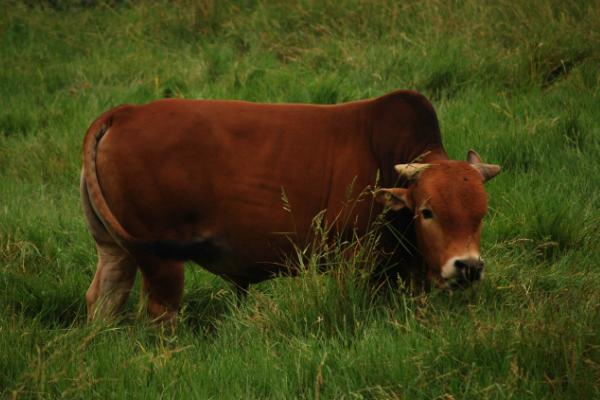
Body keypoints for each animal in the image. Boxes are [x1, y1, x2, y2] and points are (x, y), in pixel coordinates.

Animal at [81, 90, 502, 322]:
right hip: (161, 261)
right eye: (427, 211)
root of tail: (125, 112)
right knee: (159, 312)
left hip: (115, 250)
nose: (467, 267)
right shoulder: (353, 260)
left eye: (480, 215)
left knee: (104, 299)